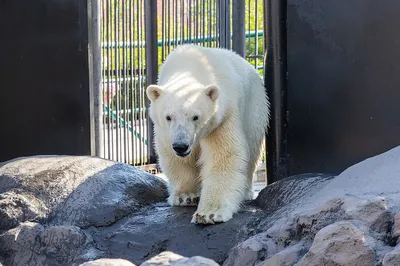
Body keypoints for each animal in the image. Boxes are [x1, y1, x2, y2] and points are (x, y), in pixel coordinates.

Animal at [145, 44, 270, 224]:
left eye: (195, 117)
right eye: (168, 117)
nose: (181, 146)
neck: (190, 67)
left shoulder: (223, 117)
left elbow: (224, 156)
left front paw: (209, 213)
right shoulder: (165, 132)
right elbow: (173, 157)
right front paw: (186, 196)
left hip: (254, 109)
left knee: (252, 150)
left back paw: (246, 191)